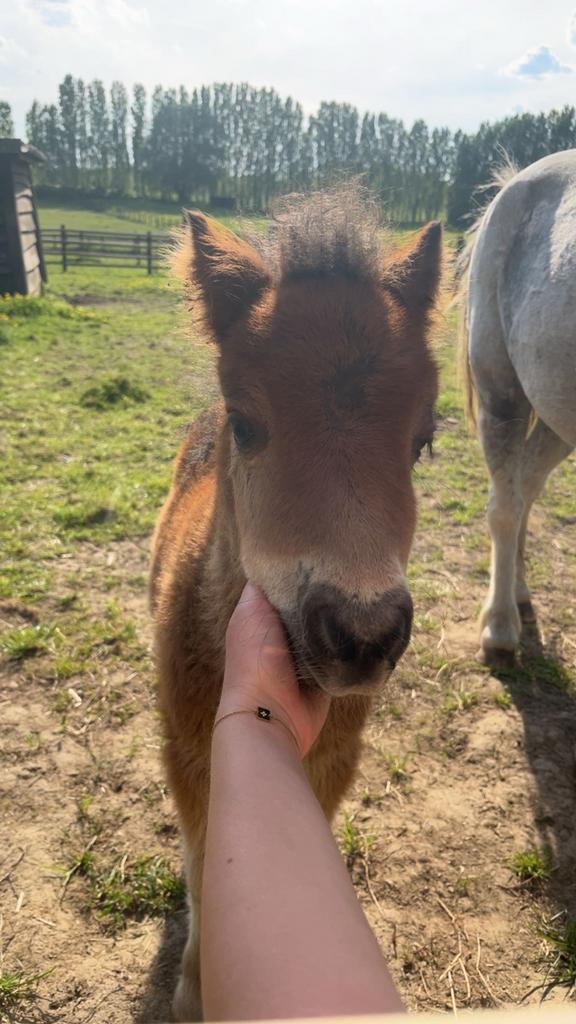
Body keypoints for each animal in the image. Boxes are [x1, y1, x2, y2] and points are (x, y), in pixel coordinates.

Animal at [150, 189, 442, 1021]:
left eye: (424, 440)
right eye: (247, 422)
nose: (362, 634)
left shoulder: (333, 759)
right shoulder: (186, 752)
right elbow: (203, 857)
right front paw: (193, 993)